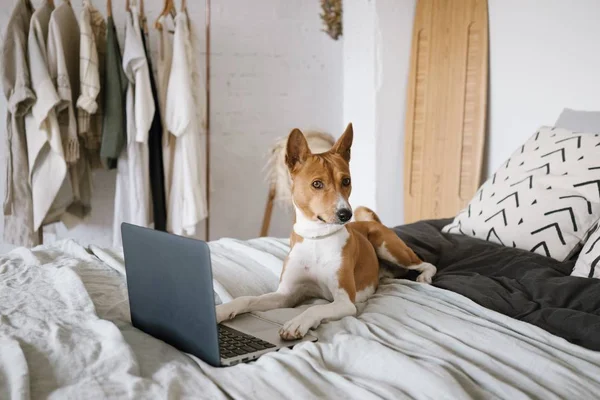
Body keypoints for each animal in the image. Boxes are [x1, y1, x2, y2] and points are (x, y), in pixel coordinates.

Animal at [216, 123, 436, 340]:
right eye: (317, 184)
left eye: (346, 181)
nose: (345, 214)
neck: (316, 237)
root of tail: (373, 223)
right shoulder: (285, 295)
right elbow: (247, 299)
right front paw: (221, 310)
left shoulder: (344, 301)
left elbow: (314, 308)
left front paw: (297, 322)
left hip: (388, 247)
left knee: (426, 263)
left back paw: (424, 277)